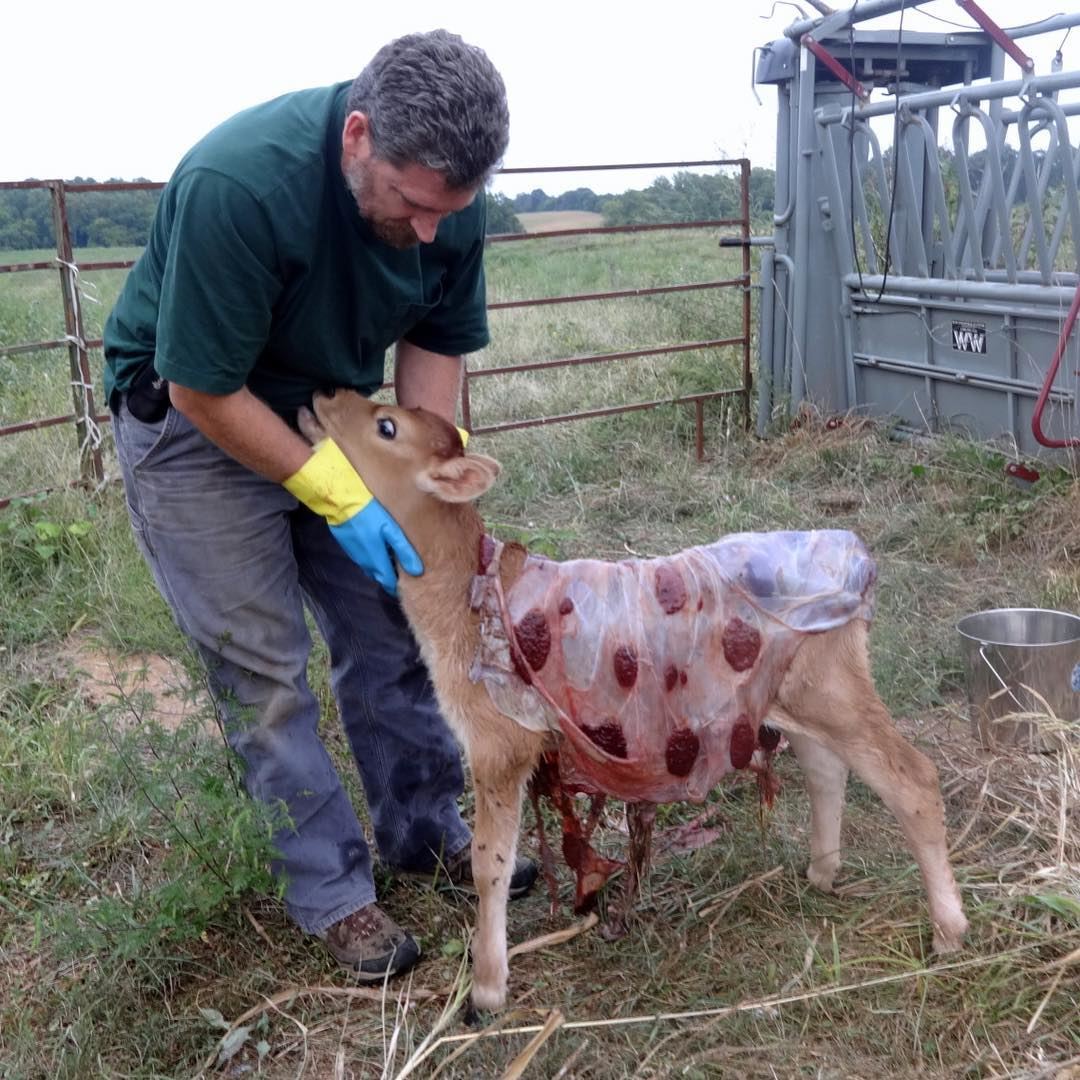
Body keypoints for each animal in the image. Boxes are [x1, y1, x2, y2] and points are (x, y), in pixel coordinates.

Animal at [298, 390, 972, 1010]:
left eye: (386, 425)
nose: (321, 397)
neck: (470, 596)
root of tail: (856, 553)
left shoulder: (500, 741)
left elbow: (492, 863)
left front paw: (486, 990)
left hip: (828, 681)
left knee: (910, 776)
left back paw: (949, 930)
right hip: (792, 687)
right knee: (828, 768)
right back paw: (822, 872)